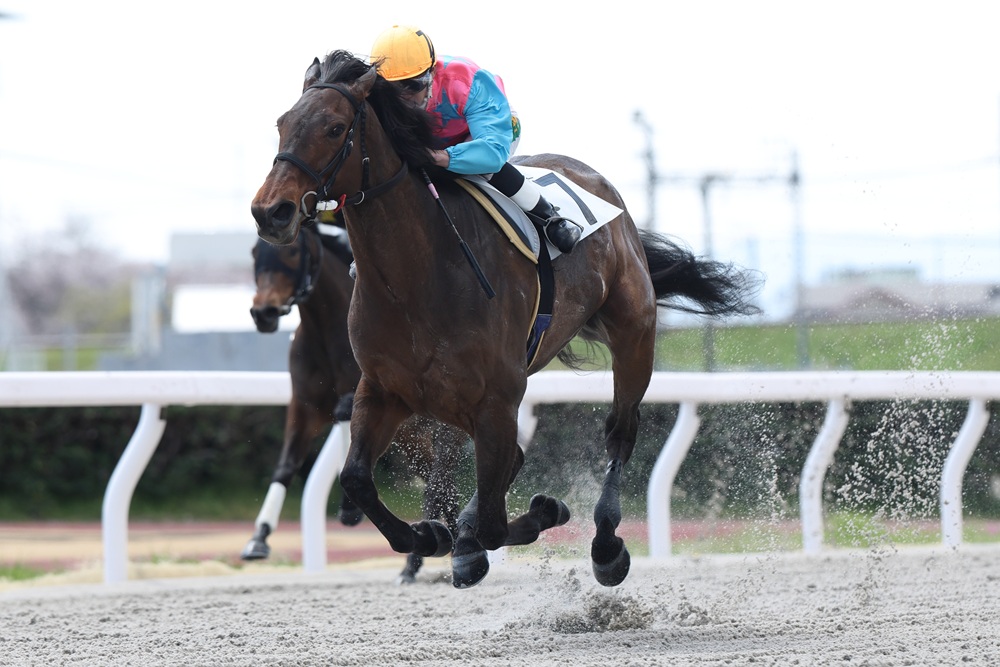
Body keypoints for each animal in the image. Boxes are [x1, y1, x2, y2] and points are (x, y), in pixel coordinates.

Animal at [243, 222, 466, 583]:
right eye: (253, 252)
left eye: (293, 252)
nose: (263, 313)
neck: (325, 330)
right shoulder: (303, 406)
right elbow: (286, 465)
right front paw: (258, 538)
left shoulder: (366, 393)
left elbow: (343, 411)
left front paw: (348, 509)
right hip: (412, 437)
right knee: (439, 483)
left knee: (439, 482)